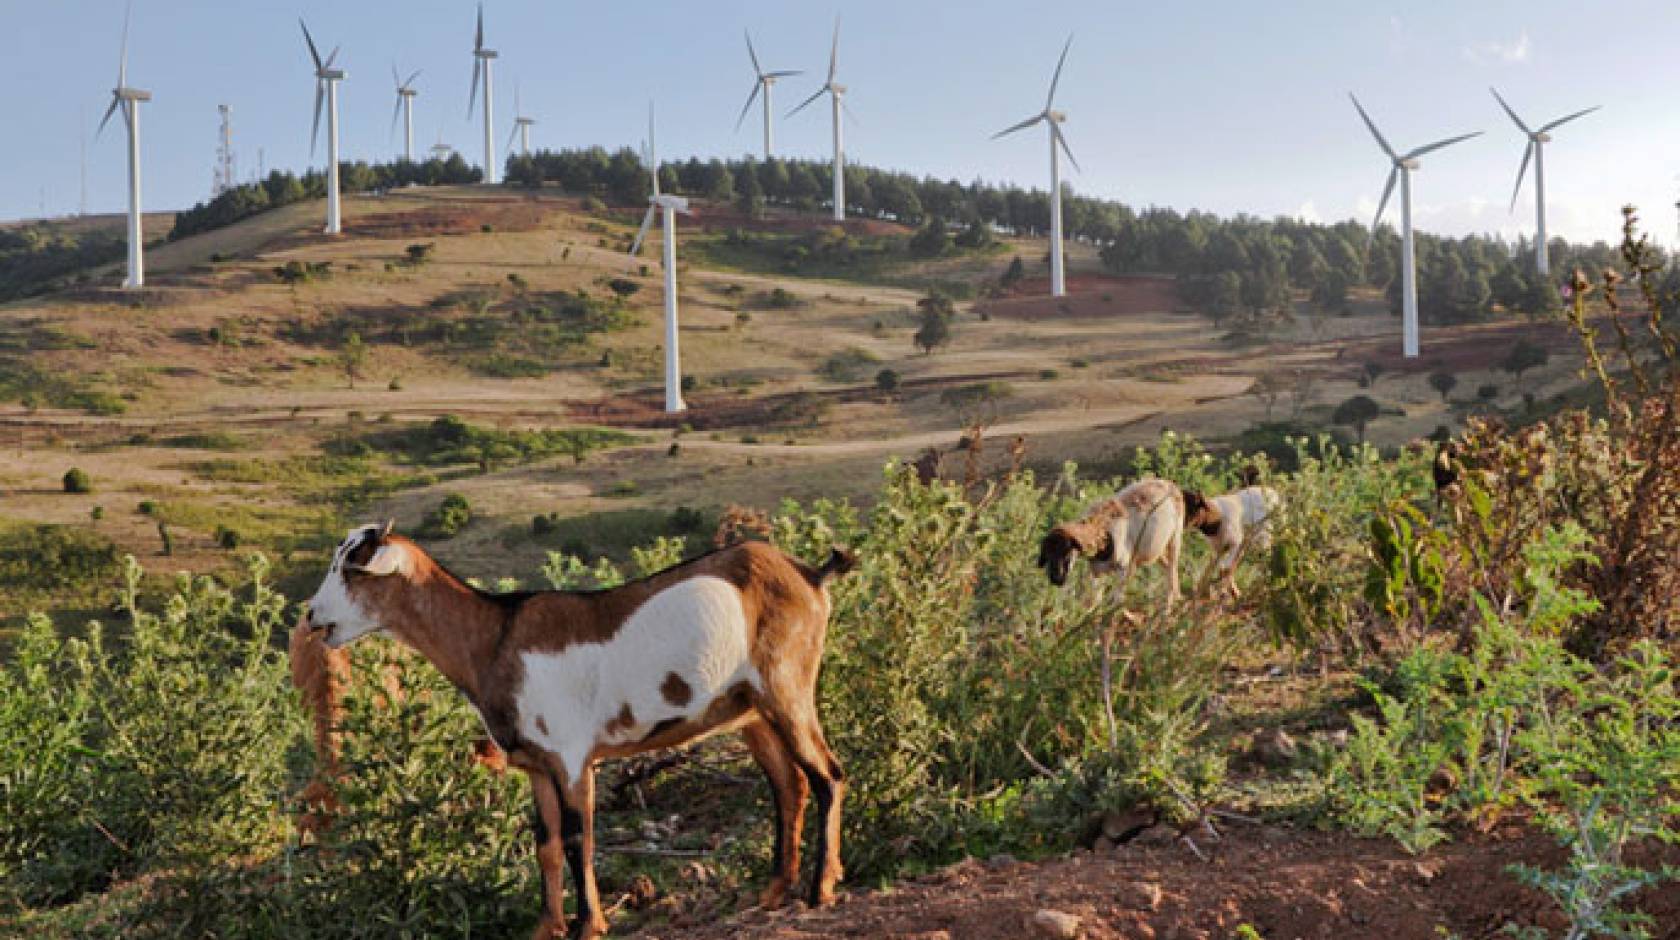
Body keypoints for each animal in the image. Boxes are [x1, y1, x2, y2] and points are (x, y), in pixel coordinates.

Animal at [1028, 476, 1189, 600]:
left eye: (1067, 551)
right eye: (1047, 552)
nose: (1057, 579)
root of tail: (1169, 483)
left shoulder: (1123, 569)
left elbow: (1116, 601)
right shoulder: (1096, 572)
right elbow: (1094, 603)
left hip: (1175, 539)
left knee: (1172, 573)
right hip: (1157, 550)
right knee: (1169, 571)